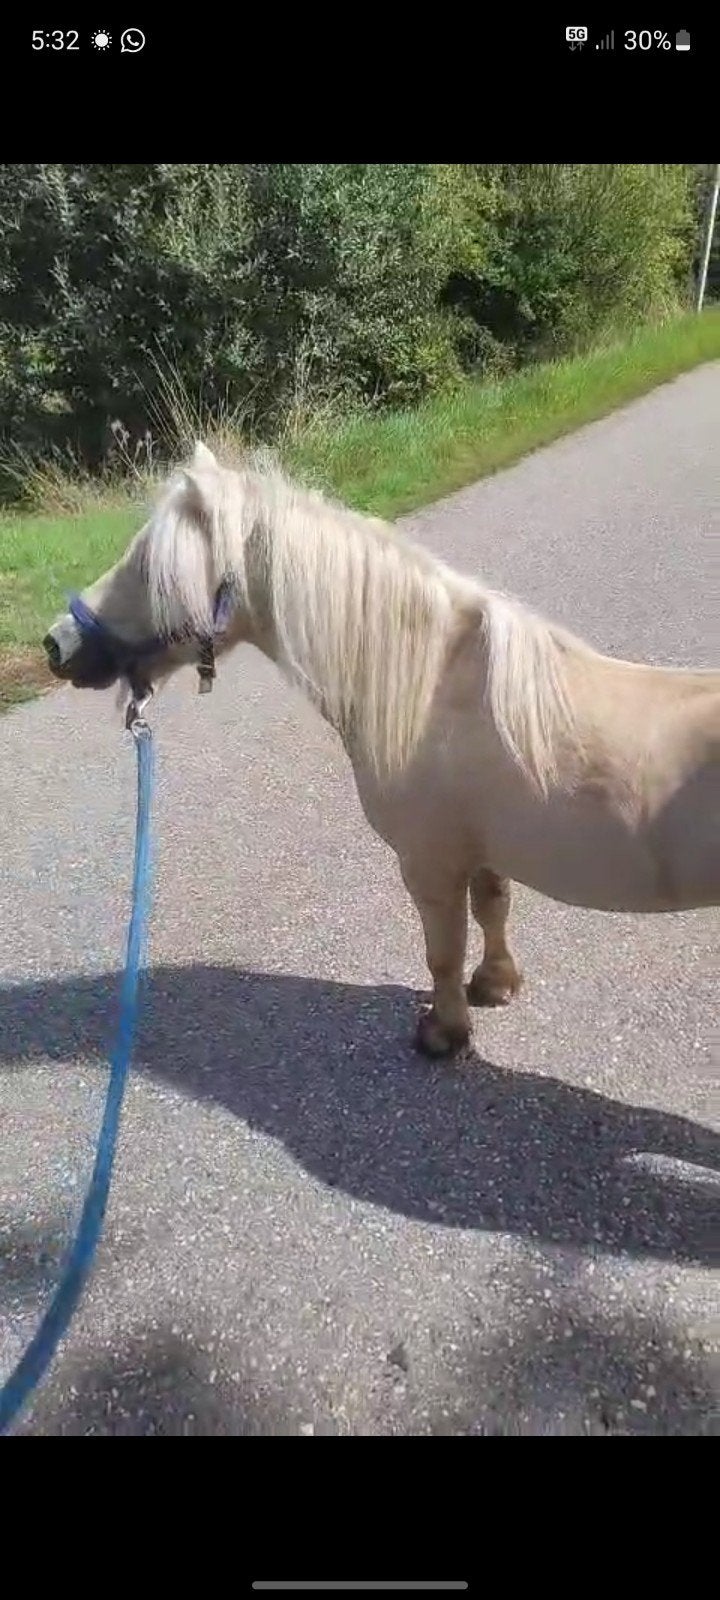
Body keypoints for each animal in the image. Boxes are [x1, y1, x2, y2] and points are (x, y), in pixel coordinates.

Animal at [43, 441, 720, 1057]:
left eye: (149, 570)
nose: (56, 645)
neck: (438, 692)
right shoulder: (477, 851)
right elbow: (492, 909)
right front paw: (494, 985)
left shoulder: (428, 863)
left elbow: (442, 951)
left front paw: (444, 1034)